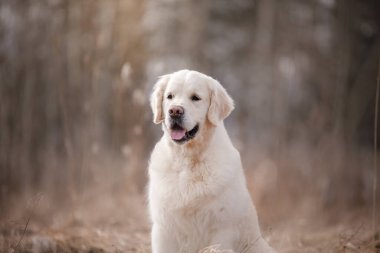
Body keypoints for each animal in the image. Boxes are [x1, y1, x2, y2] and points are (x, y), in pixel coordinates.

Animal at [147, 69, 274, 253]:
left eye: (195, 98)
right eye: (169, 96)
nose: (175, 111)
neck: (188, 160)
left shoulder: (221, 229)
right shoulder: (164, 228)